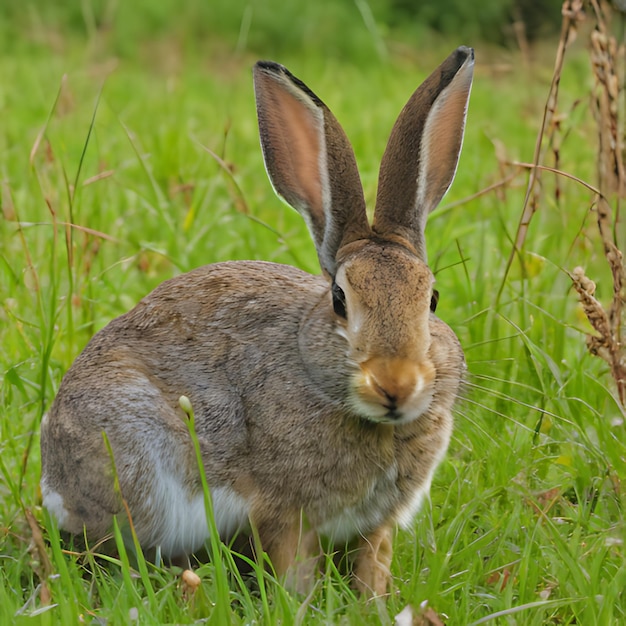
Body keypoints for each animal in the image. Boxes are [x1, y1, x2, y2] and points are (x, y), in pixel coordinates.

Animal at [40, 46, 472, 592]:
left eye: (432, 299)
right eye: (339, 299)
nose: (395, 384)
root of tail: (51, 479)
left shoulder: (377, 526)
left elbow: (372, 566)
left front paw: (374, 601)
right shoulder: (284, 515)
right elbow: (292, 568)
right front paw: (301, 602)